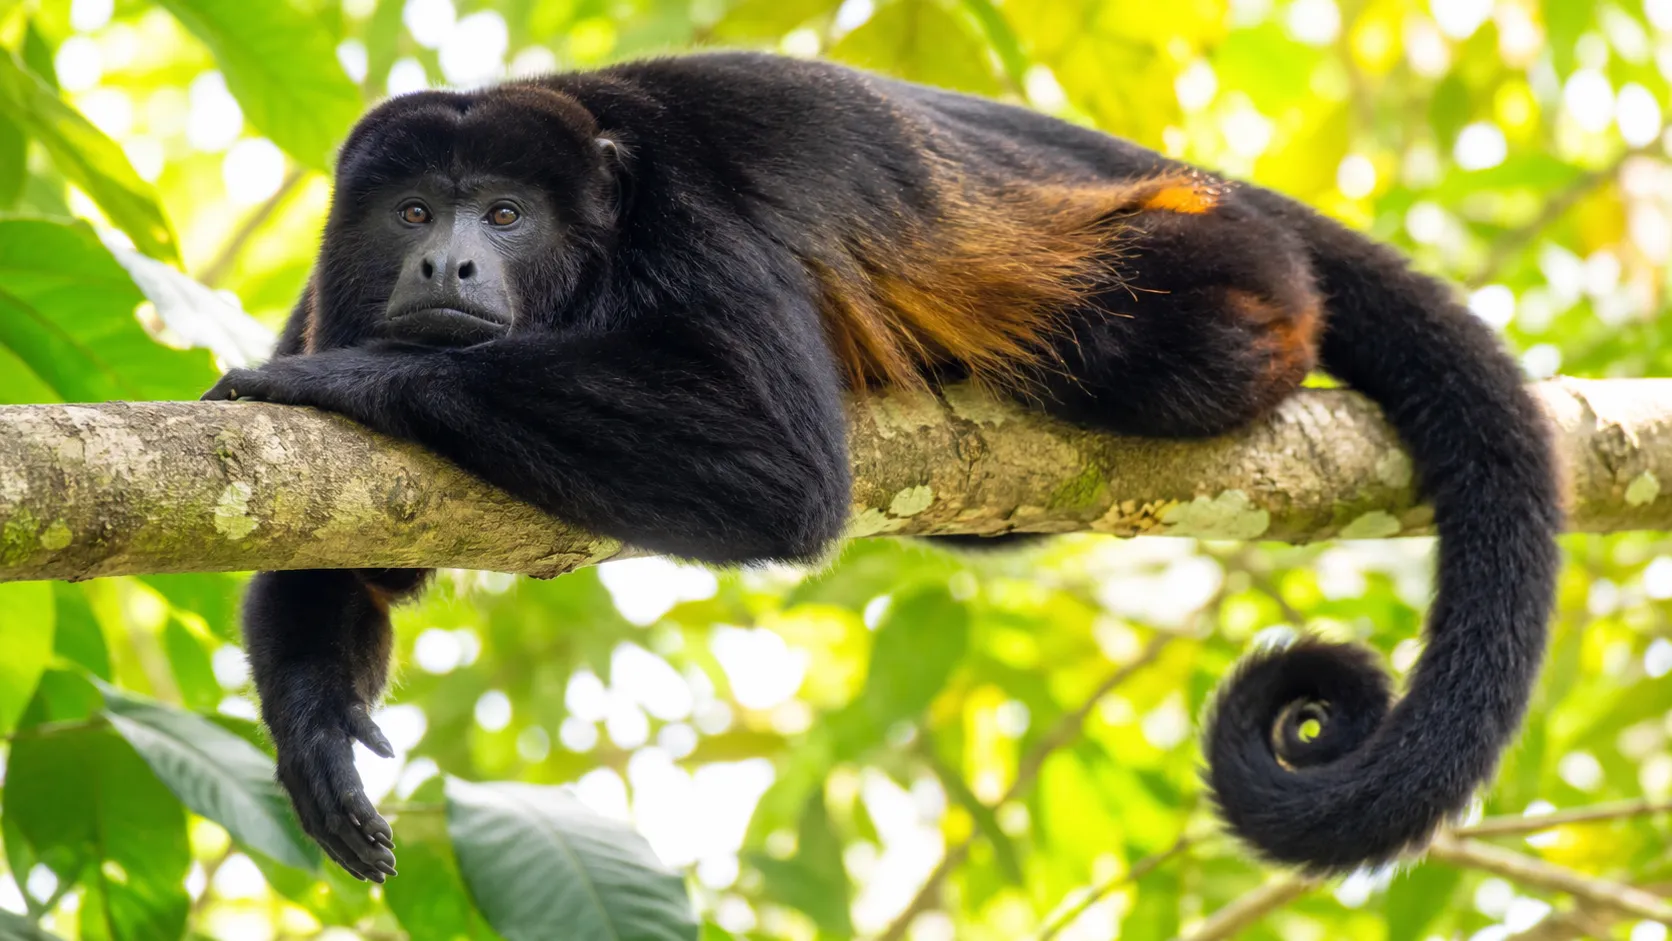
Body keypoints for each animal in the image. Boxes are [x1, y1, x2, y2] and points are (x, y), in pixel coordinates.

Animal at [202, 51, 1561, 882]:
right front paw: (313, 719)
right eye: (414, 216)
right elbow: (343, 557)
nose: (447, 266)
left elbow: (782, 468)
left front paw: (355, 382)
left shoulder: (691, 222)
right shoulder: (331, 285)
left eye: (503, 216)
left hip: (1228, 271)